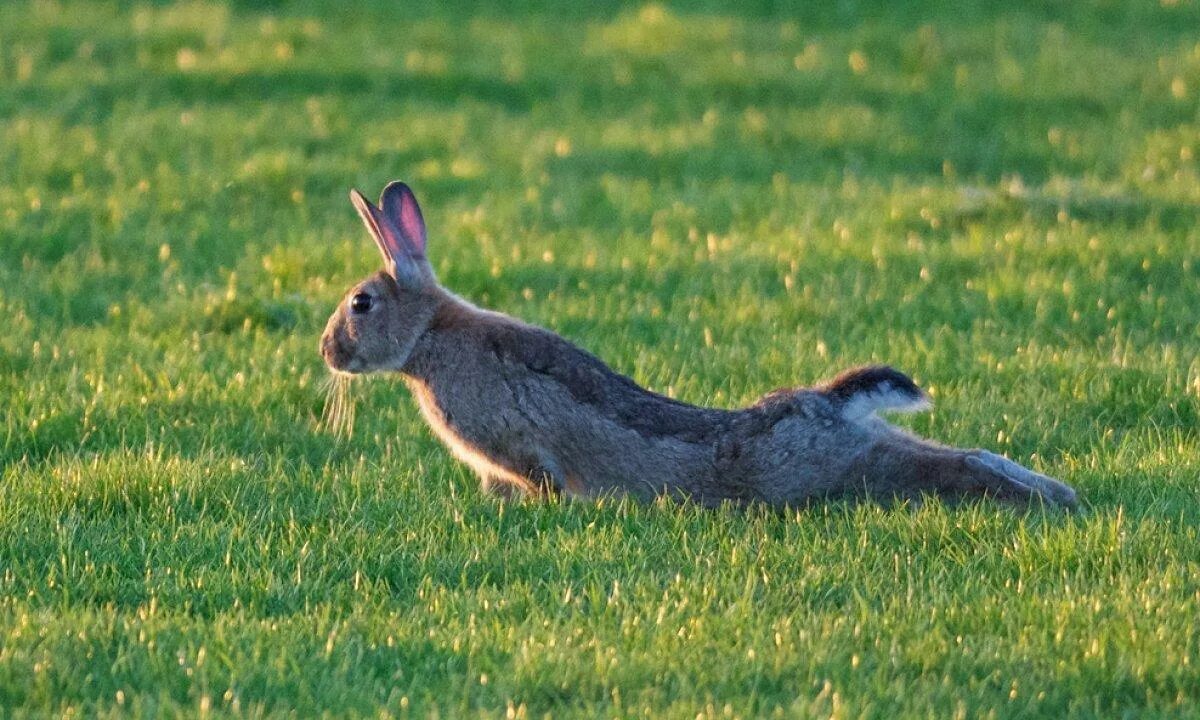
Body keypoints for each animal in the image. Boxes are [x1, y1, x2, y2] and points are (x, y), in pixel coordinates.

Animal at [319, 178, 1080, 506]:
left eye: (361, 304)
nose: (329, 352)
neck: (430, 337)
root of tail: (826, 403)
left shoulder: (512, 443)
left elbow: (537, 477)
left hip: (829, 469)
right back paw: (1057, 491)